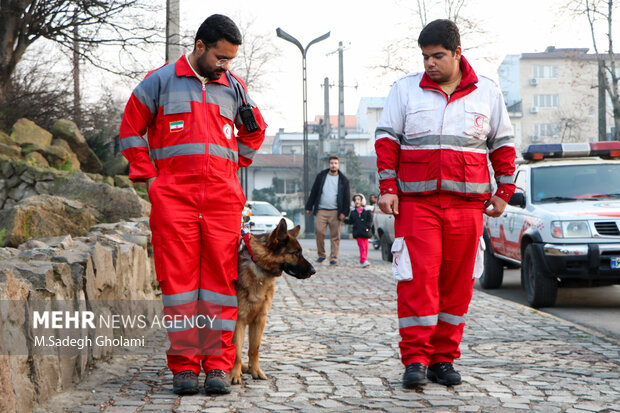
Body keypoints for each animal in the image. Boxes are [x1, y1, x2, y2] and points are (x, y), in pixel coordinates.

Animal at [231, 219, 314, 384]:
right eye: (296, 253)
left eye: (300, 252)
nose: (313, 271)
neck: (258, 265)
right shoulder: (239, 320)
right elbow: (236, 351)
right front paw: (235, 375)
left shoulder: (260, 319)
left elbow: (254, 348)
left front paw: (255, 371)